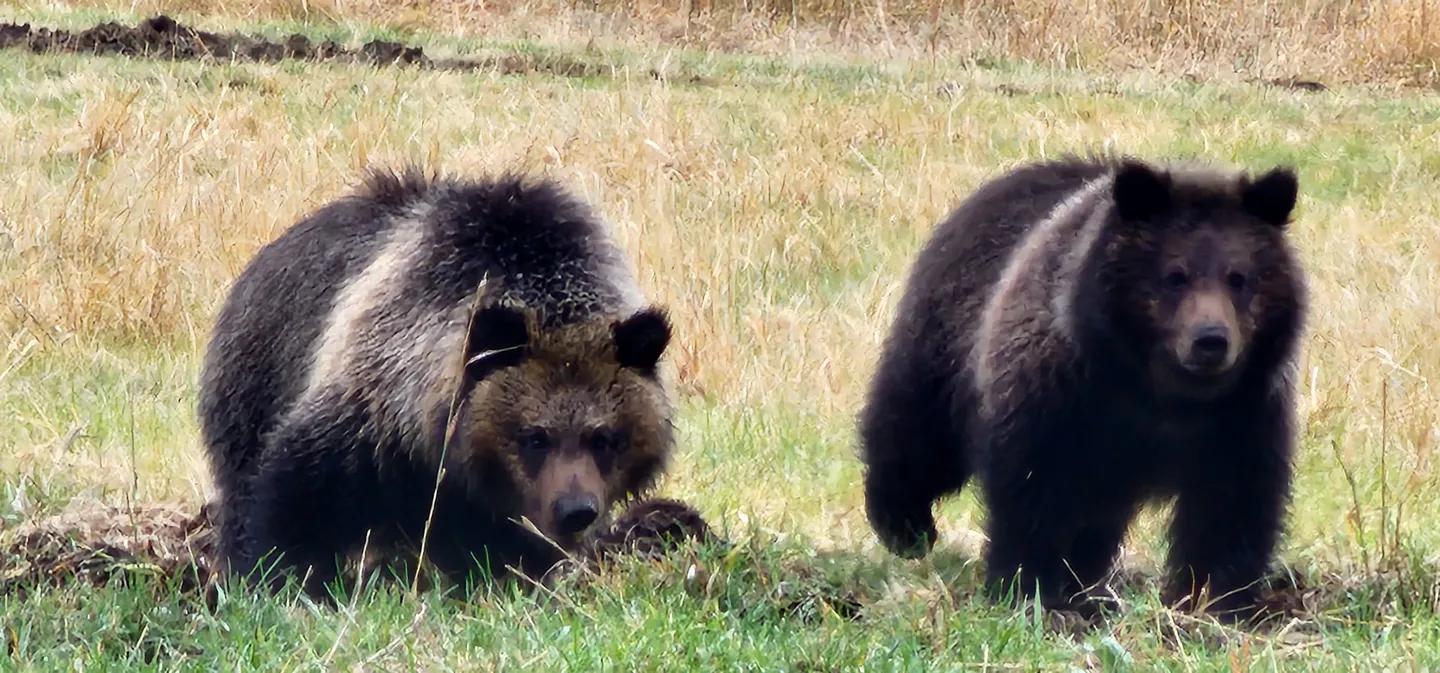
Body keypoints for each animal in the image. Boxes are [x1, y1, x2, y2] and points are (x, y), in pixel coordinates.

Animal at [197, 166, 675, 598]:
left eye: (604, 437)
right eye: (535, 436)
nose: (575, 510)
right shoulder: (370, 406)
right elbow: (292, 497)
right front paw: (279, 578)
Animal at [858, 154, 1307, 622]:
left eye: (1239, 277)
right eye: (1175, 275)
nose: (1211, 340)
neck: (1162, 395)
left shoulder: (1241, 417)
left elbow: (1231, 509)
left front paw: (1213, 600)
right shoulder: (1061, 401)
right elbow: (1034, 495)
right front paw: (1029, 587)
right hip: (944, 340)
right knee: (916, 430)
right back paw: (905, 525)